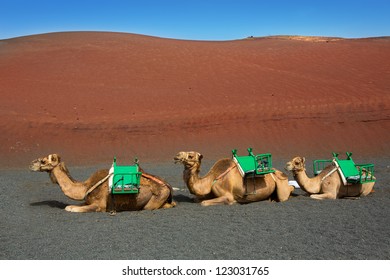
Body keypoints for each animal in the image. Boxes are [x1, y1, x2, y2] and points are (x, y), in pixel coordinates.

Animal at [29, 153, 176, 212]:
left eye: (43, 161)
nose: (31, 164)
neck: (85, 187)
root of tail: (168, 186)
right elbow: (72, 206)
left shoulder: (99, 205)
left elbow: (72, 209)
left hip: (158, 196)